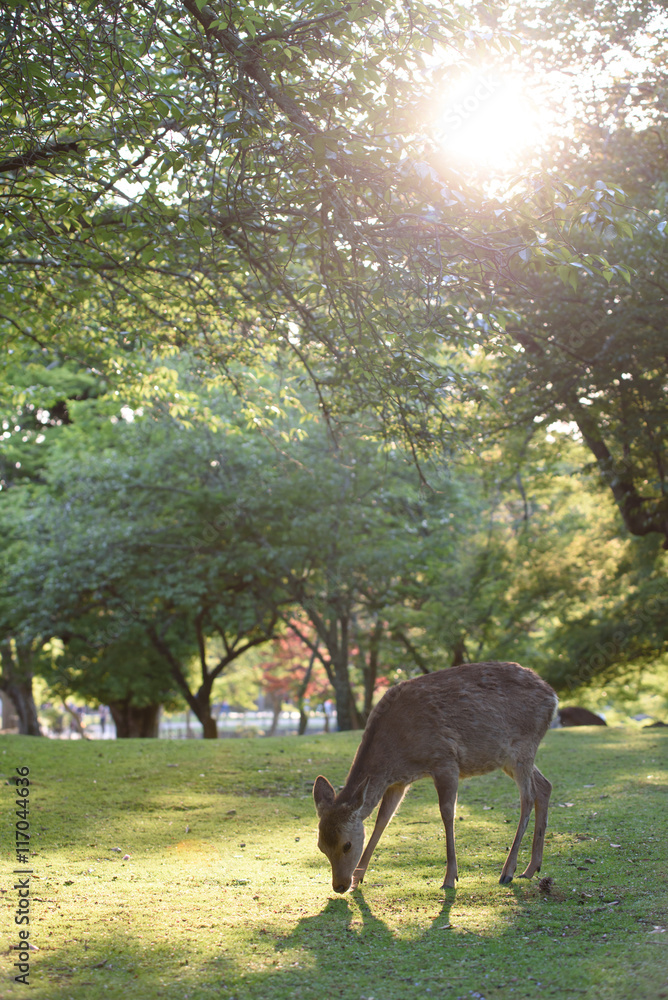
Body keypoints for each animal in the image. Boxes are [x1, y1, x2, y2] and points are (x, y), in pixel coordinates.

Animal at [313, 661, 558, 893]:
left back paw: (508, 871)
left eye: (346, 845)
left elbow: (447, 813)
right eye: (321, 846)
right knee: (544, 786)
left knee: (528, 797)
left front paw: (450, 878)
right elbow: (383, 820)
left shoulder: (445, 760)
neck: (396, 753)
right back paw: (532, 867)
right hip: (507, 757)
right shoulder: (398, 782)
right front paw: (359, 879)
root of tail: (553, 697)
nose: (340, 886)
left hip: (523, 746)